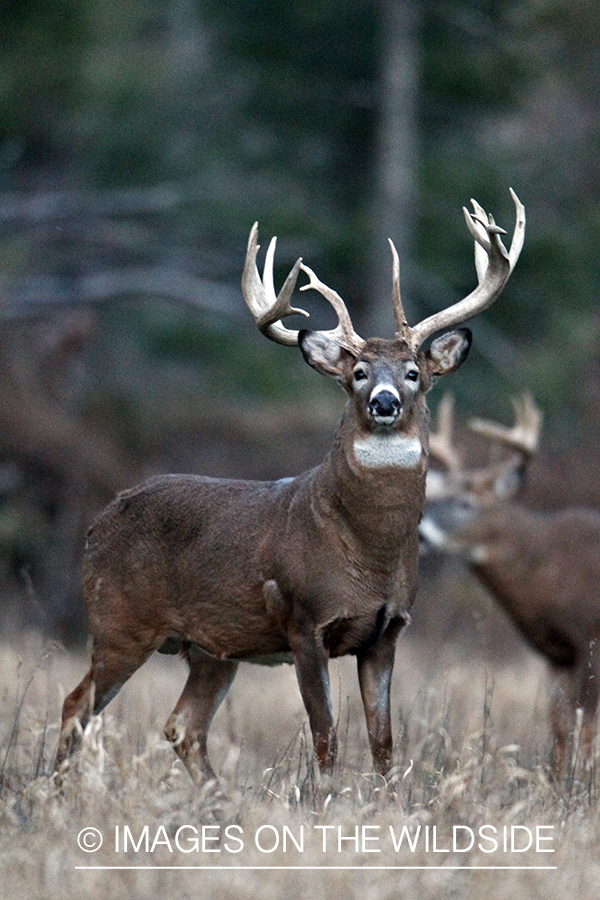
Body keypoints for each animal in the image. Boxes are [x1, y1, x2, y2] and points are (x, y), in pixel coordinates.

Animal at [55, 192, 524, 788]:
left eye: (414, 371)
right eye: (358, 373)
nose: (385, 402)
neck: (370, 550)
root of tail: (98, 522)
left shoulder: (388, 632)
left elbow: (384, 743)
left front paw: (385, 799)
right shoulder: (304, 620)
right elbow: (326, 737)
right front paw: (325, 798)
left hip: (211, 648)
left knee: (182, 725)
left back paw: (216, 797)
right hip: (118, 621)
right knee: (77, 706)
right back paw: (54, 792)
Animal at [420, 390, 600, 776]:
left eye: (466, 503)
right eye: (434, 499)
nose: (422, 534)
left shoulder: (591, 639)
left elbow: (586, 724)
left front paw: (582, 776)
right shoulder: (556, 653)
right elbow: (558, 725)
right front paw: (557, 777)